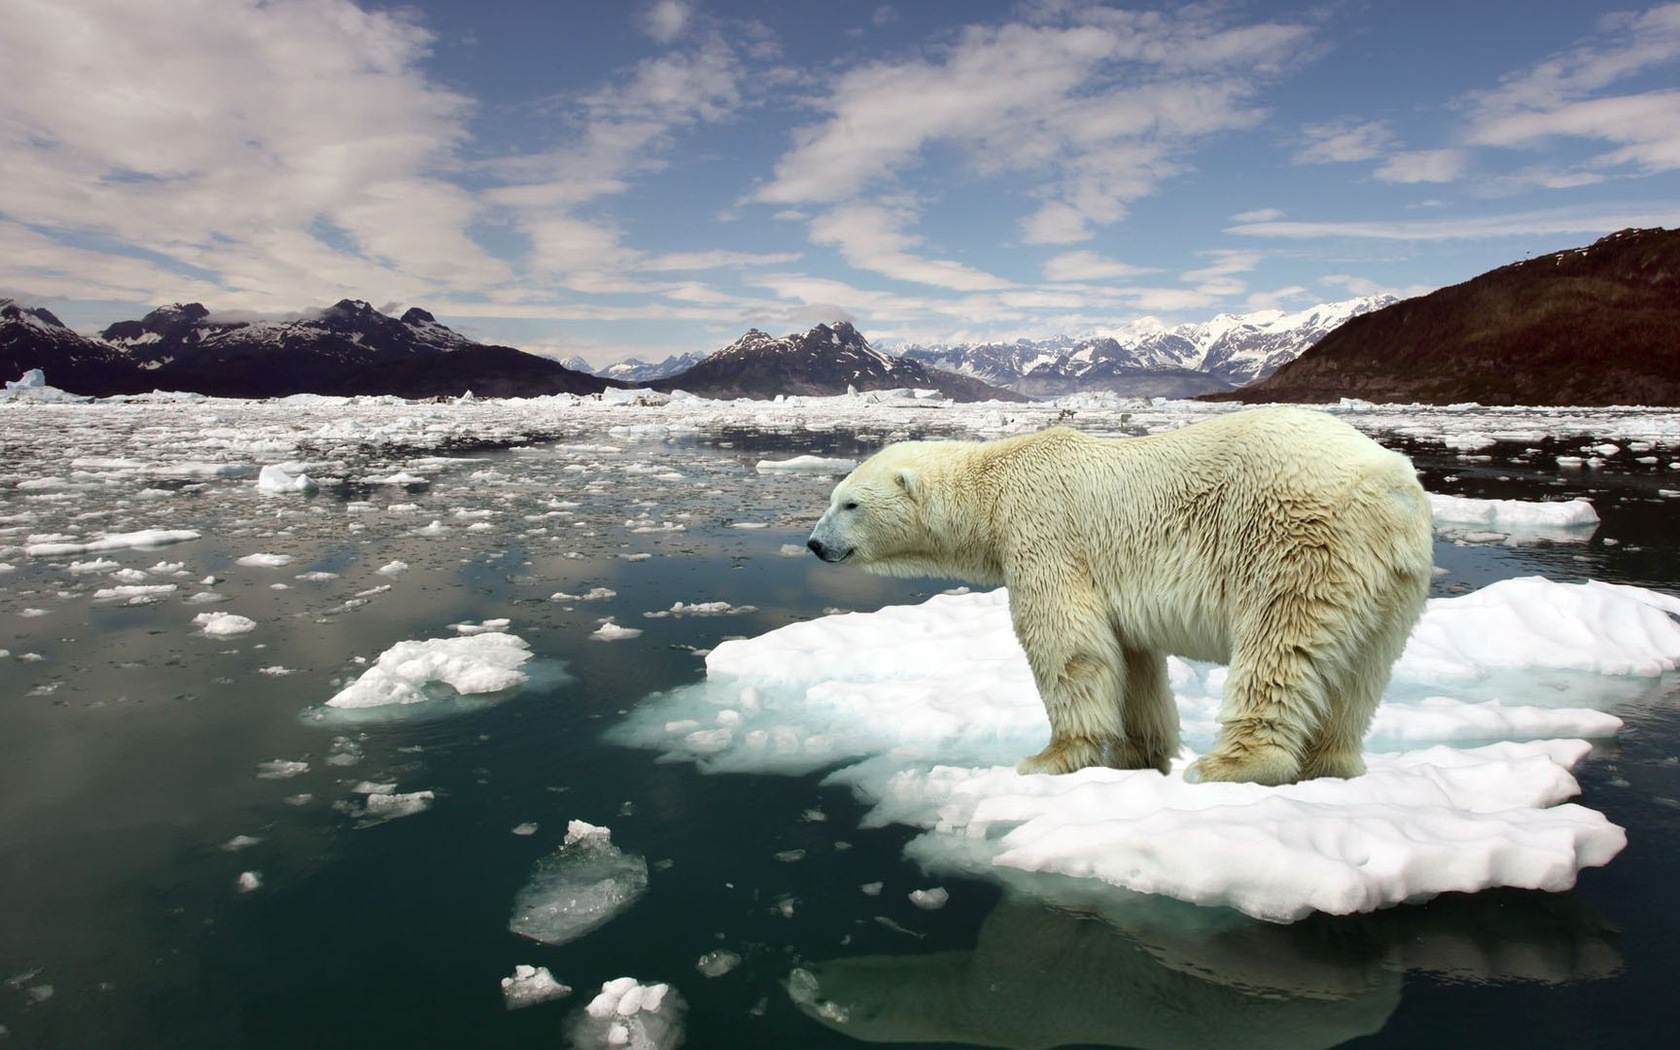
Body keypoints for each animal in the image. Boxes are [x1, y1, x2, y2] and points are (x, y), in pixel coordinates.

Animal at [806, 407, 1434, 786]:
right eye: (832, 497)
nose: (814, 544)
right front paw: (1139, 754)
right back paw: (1331, 765)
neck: (994, 484)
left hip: (1297, 541)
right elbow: (1132, 660)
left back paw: (1230, 765)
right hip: (1393, 581)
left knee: (1280, 645)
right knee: (1361, 672)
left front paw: (1050, 757)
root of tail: (1391, 484)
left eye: (849, 504)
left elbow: (1067, 643)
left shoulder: (1044, 531)